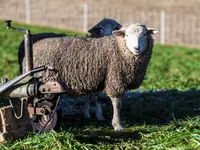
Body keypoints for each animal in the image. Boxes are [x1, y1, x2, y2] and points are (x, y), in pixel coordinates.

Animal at [19, 21, 158, 131]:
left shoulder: (99, 79)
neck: (118, 48)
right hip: (44, 80)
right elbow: (117, 103)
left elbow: (95, 97)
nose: (136, 48)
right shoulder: (115, 78)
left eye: (144, 34)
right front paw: (117, 125)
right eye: (127, 35)